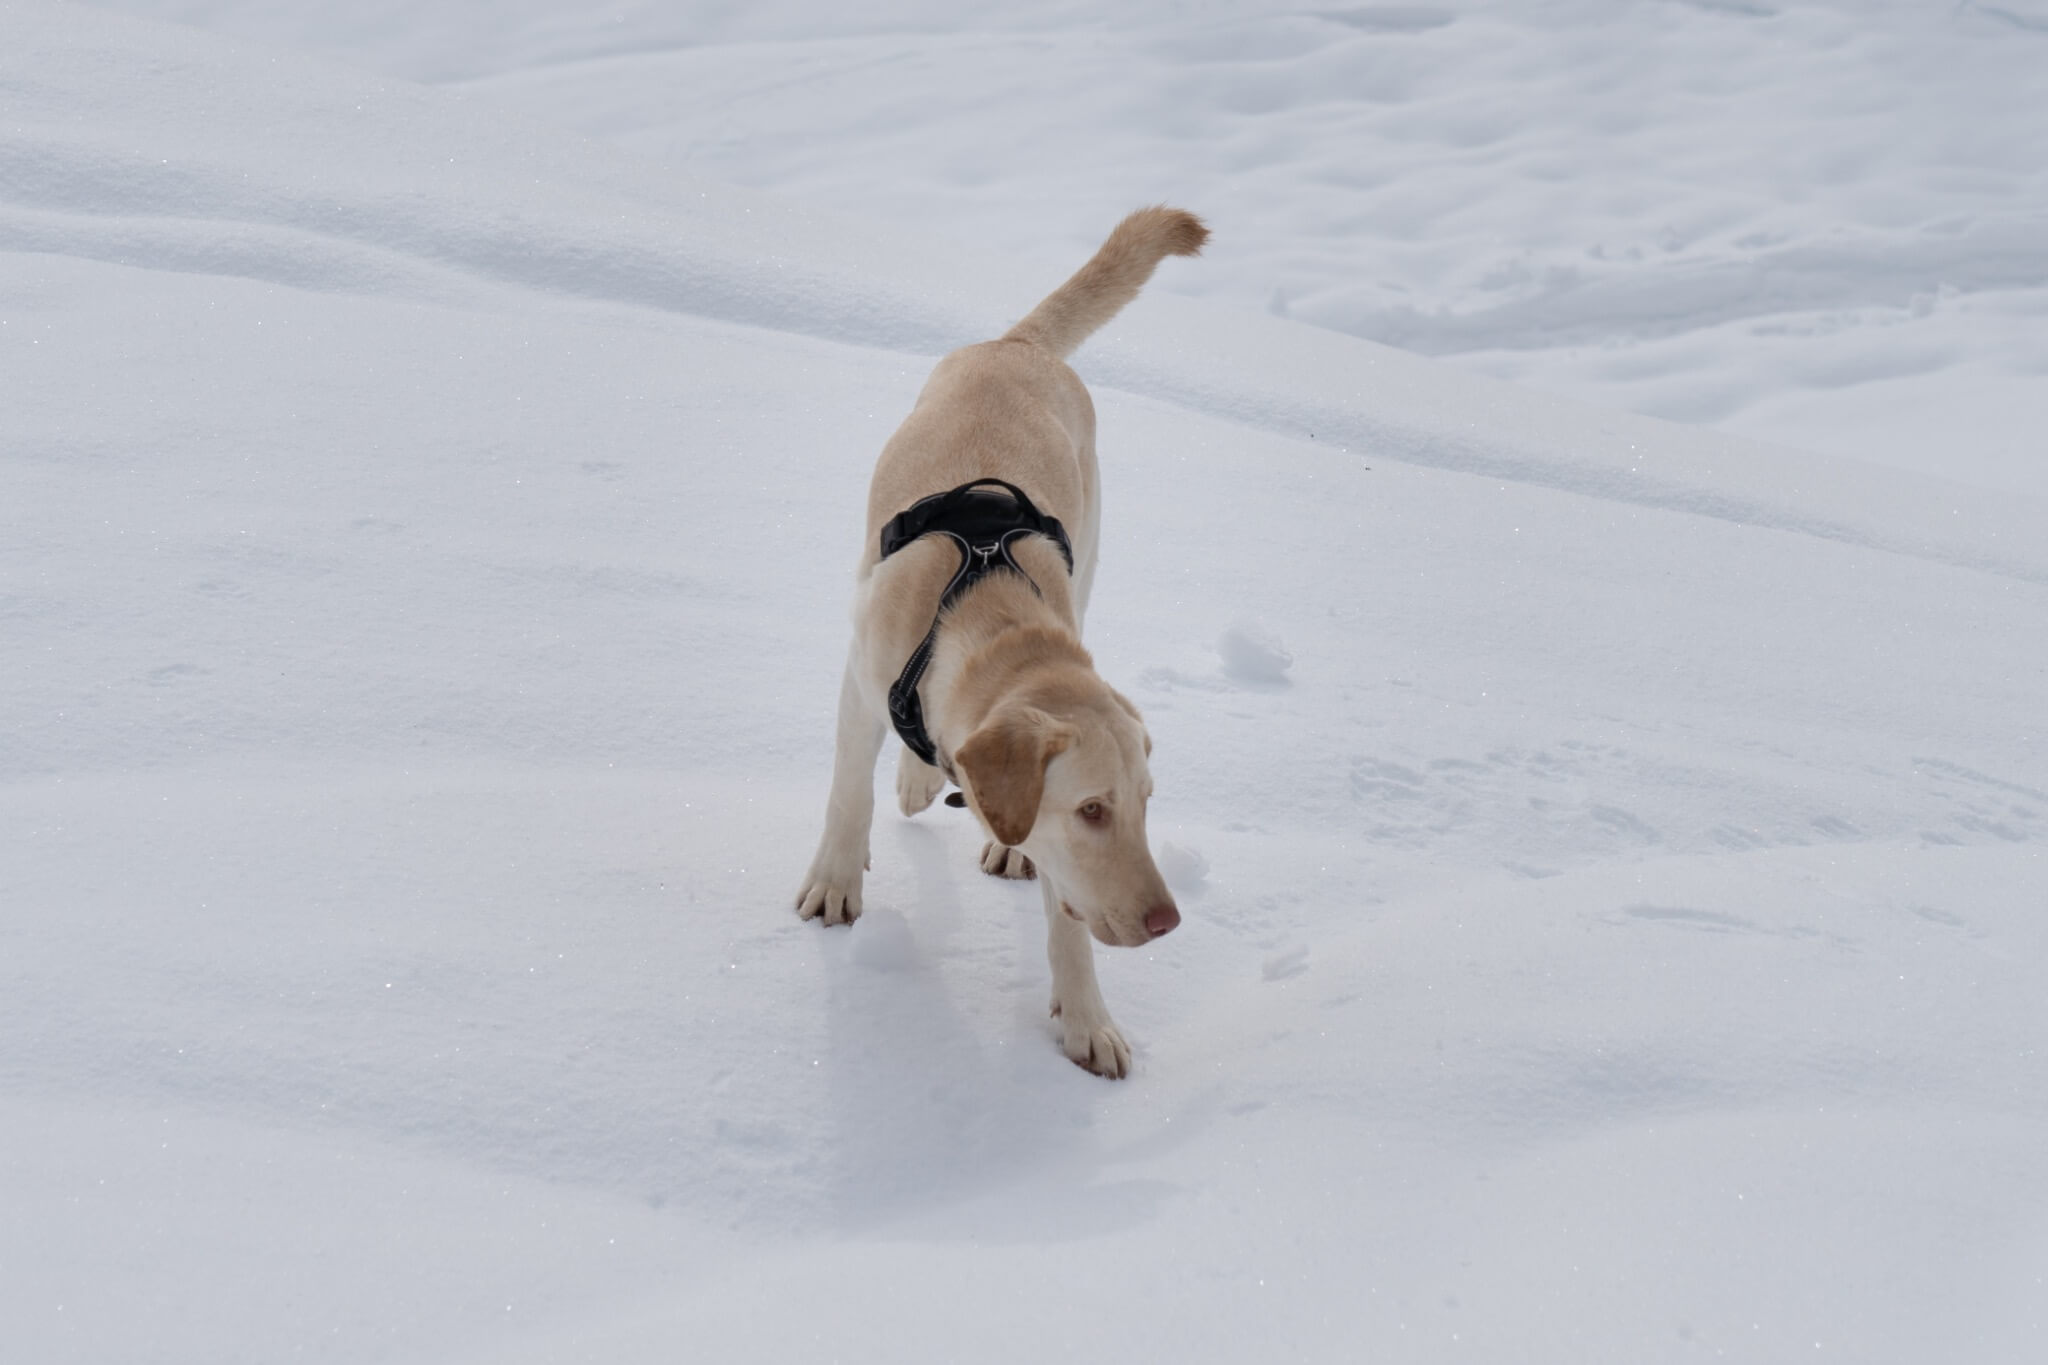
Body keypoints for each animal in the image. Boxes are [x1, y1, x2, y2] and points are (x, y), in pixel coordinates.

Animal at [786, 205, 1196, 1080]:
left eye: (1146, 802)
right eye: (1092, 808)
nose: (1165, 923)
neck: (994, 624)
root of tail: (1020, 345)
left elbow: (1068, 917)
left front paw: (1087, 1017)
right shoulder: (859, 681)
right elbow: (847, 792)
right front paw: (835, 883)